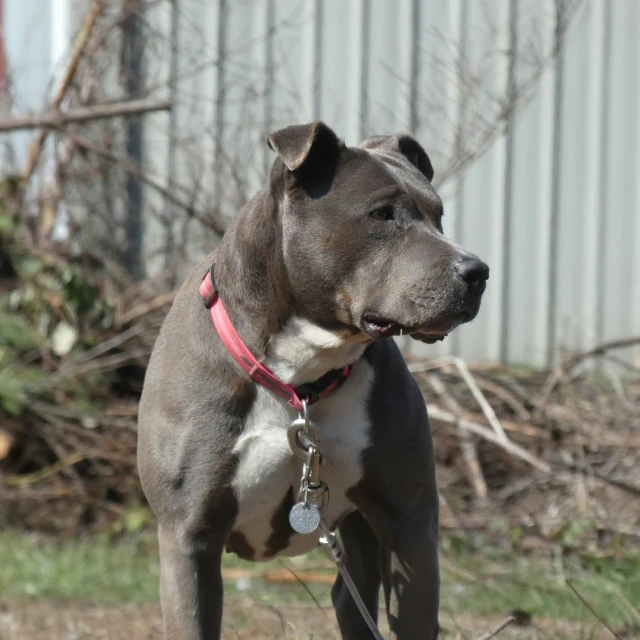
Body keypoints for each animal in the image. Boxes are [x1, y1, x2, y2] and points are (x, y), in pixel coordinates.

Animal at [139, 121, 490, 640]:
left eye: (438, 215)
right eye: (381, 214)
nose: (478, 271)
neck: (301, 377)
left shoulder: (410, 526)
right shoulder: (188, 537)